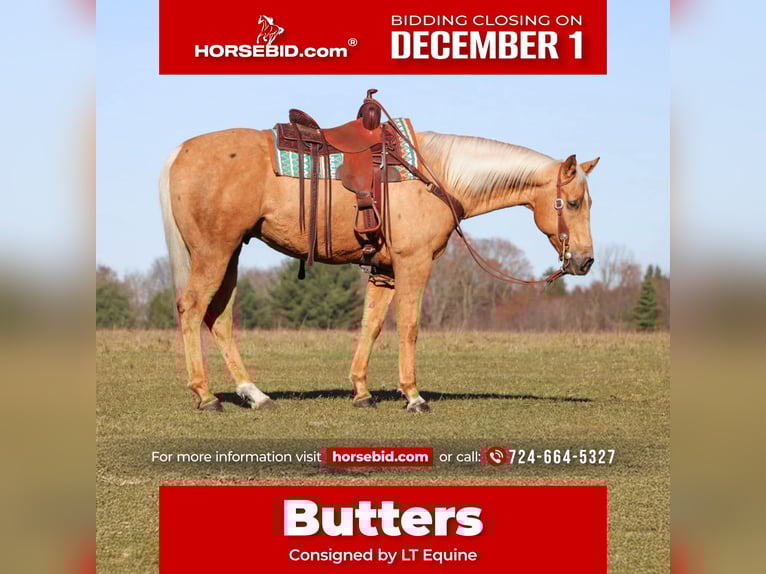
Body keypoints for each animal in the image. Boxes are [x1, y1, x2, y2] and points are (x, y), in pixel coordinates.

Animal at [159, 112, 599, 414]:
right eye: (574, 202)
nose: (585, 261)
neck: (436, 175)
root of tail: (180, 151)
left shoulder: (384, 271)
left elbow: (370, 326)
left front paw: (361, 391)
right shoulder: (413, 263)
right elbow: (409, 327)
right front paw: (414, 396)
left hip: (230, 254)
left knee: (219, 317)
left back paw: (254, 393)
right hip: (215, 252)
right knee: (192, 308)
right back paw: (206, 396)